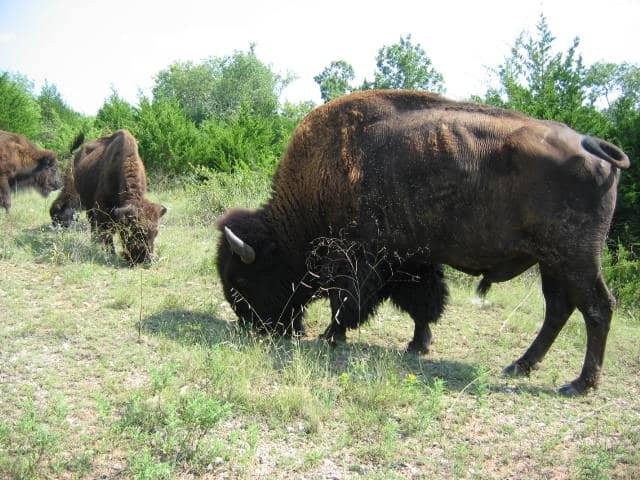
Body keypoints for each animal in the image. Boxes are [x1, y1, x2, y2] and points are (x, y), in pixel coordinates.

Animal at [217, 90, 630, 396]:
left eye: (242, 279)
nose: (253, 326)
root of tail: (590, 143)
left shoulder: (355, 259)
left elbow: (345, 301)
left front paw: (331, 337)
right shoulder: (411, 260)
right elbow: (423, 304)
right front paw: (419, 344)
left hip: (574, 259)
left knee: (597, 308)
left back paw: (579, 384)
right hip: (552, 262)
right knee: (559, 309)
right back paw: (520, 366)